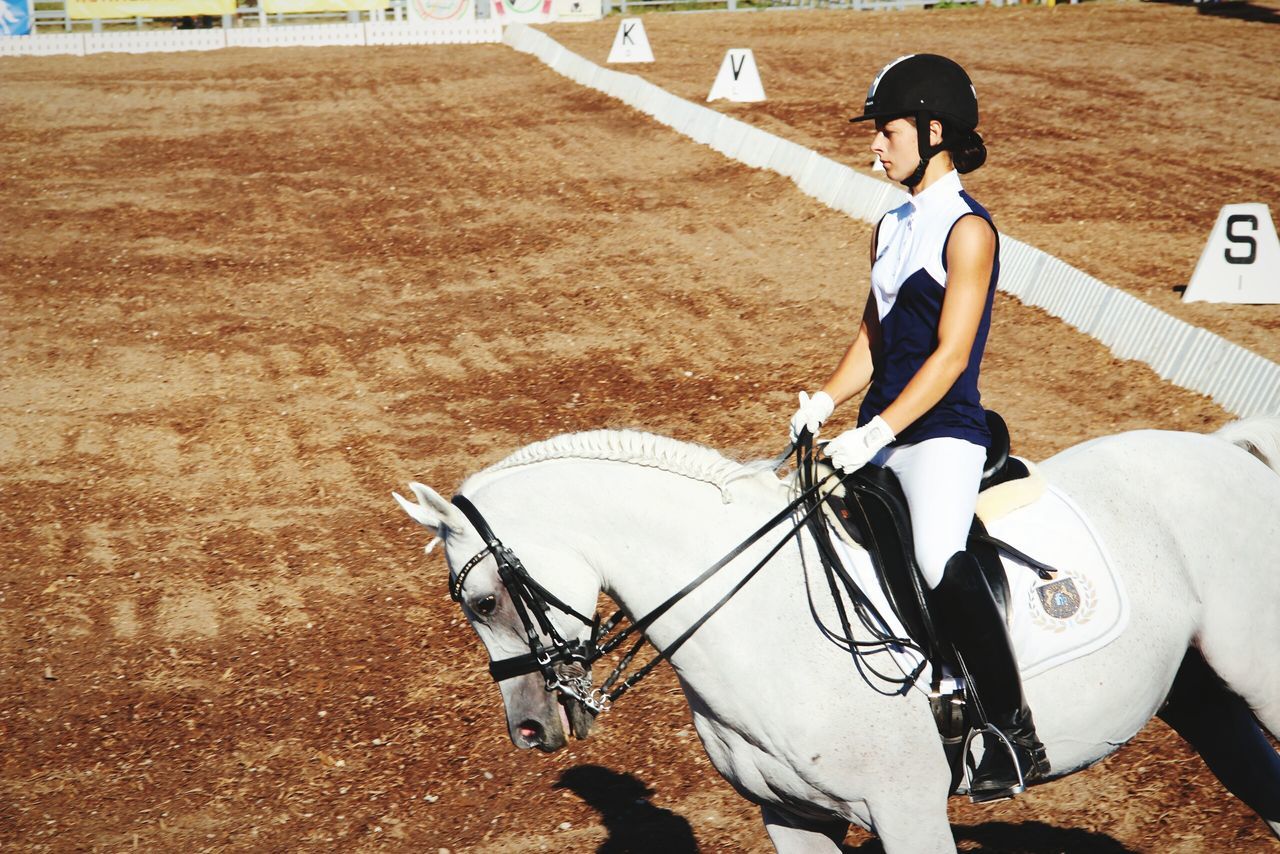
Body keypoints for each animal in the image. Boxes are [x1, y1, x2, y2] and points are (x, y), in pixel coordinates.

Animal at [394, 422, 1280, 854]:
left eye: (483, 600)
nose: (528, 728)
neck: (761, 622)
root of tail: (1231, 451)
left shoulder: (907, 811)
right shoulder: (789, 816)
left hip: (1259, 673)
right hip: (1204, 696)